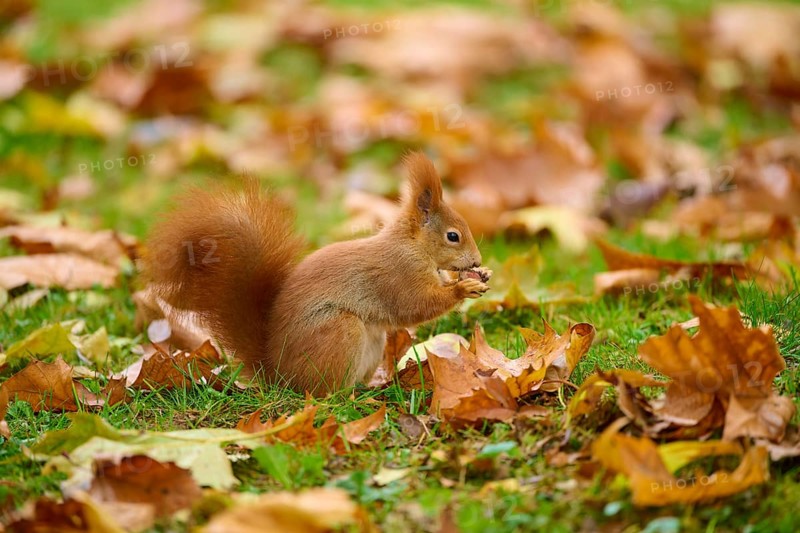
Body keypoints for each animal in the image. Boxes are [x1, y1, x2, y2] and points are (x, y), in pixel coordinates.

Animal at [141, 152, 491, 395]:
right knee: (325, 393)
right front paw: (463, 290)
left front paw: (480, 275)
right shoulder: (399, 274)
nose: (477, 260)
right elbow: (416, 305)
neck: (412, 245)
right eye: (453, 236)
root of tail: (280, 376)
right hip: (340, 332)